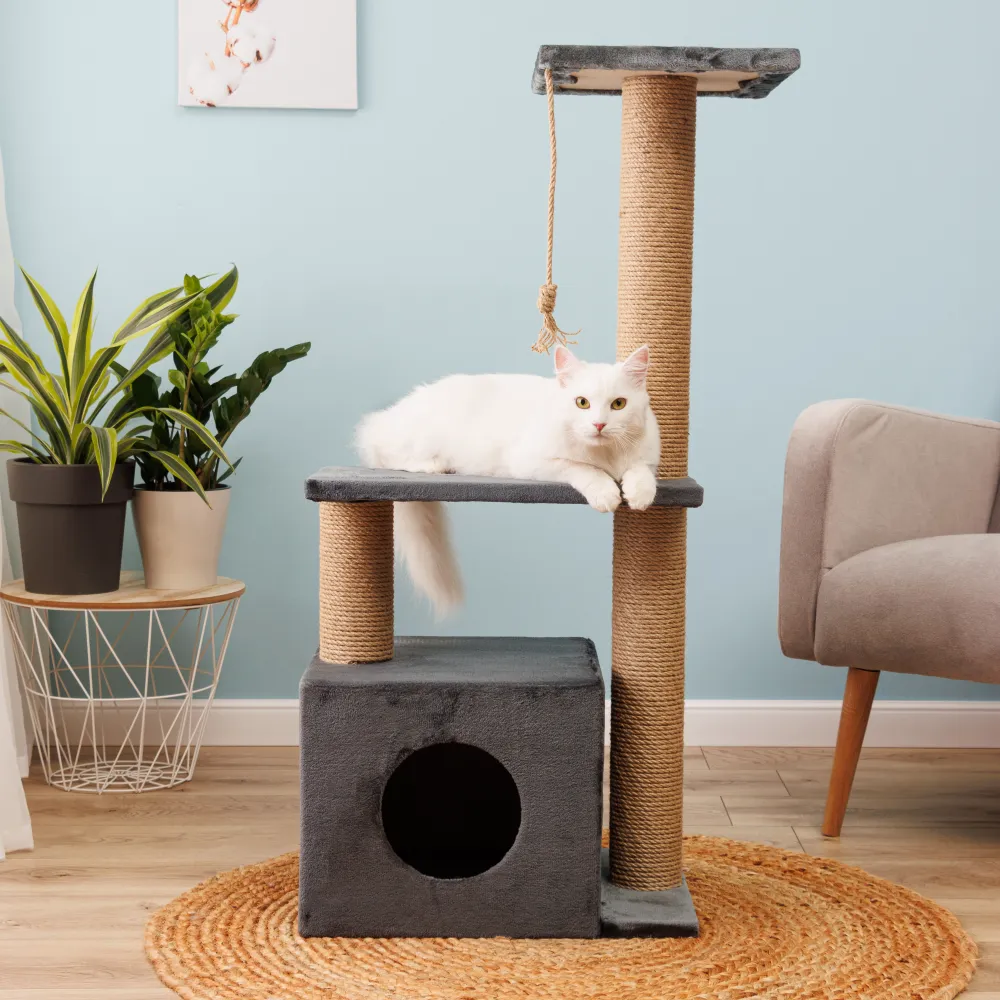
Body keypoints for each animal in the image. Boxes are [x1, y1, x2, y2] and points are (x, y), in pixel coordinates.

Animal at [355, 344, 660, 616]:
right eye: (582, 403)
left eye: (618, 404)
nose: (599, 425)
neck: (605, 454)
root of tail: (387, 416)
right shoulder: (533, 460)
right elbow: (583, 469)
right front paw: (606, 493)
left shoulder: (646, 458)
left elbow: (641, 473)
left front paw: (640, 495)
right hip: (414, 439)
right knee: (385, 453)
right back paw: (433, 467)